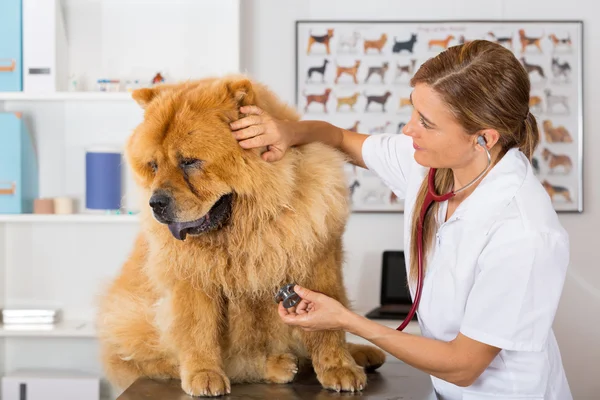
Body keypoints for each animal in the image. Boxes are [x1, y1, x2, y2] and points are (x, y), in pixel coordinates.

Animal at [94, 76, 384, 396]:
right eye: (153, 166)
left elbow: (330, 327)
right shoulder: (192, 276)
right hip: (133, 321)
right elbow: (197, 327)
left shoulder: (320, 259)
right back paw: (279, 365)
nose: (155, 203)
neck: (249, 226)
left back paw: (361, 353)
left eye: (189, 162)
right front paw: (204, 374)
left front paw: (339, 367)